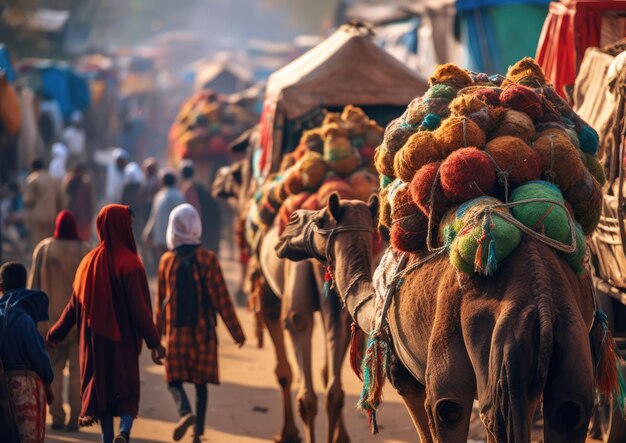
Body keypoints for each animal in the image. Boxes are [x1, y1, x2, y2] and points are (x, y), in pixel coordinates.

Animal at [276, 195, 596, 443]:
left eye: (319, 220)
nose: (289, 221)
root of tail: (540, 298)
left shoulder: (405, 376)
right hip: (566, 343)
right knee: (568, 413)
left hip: (477, 344)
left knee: (454, 409)